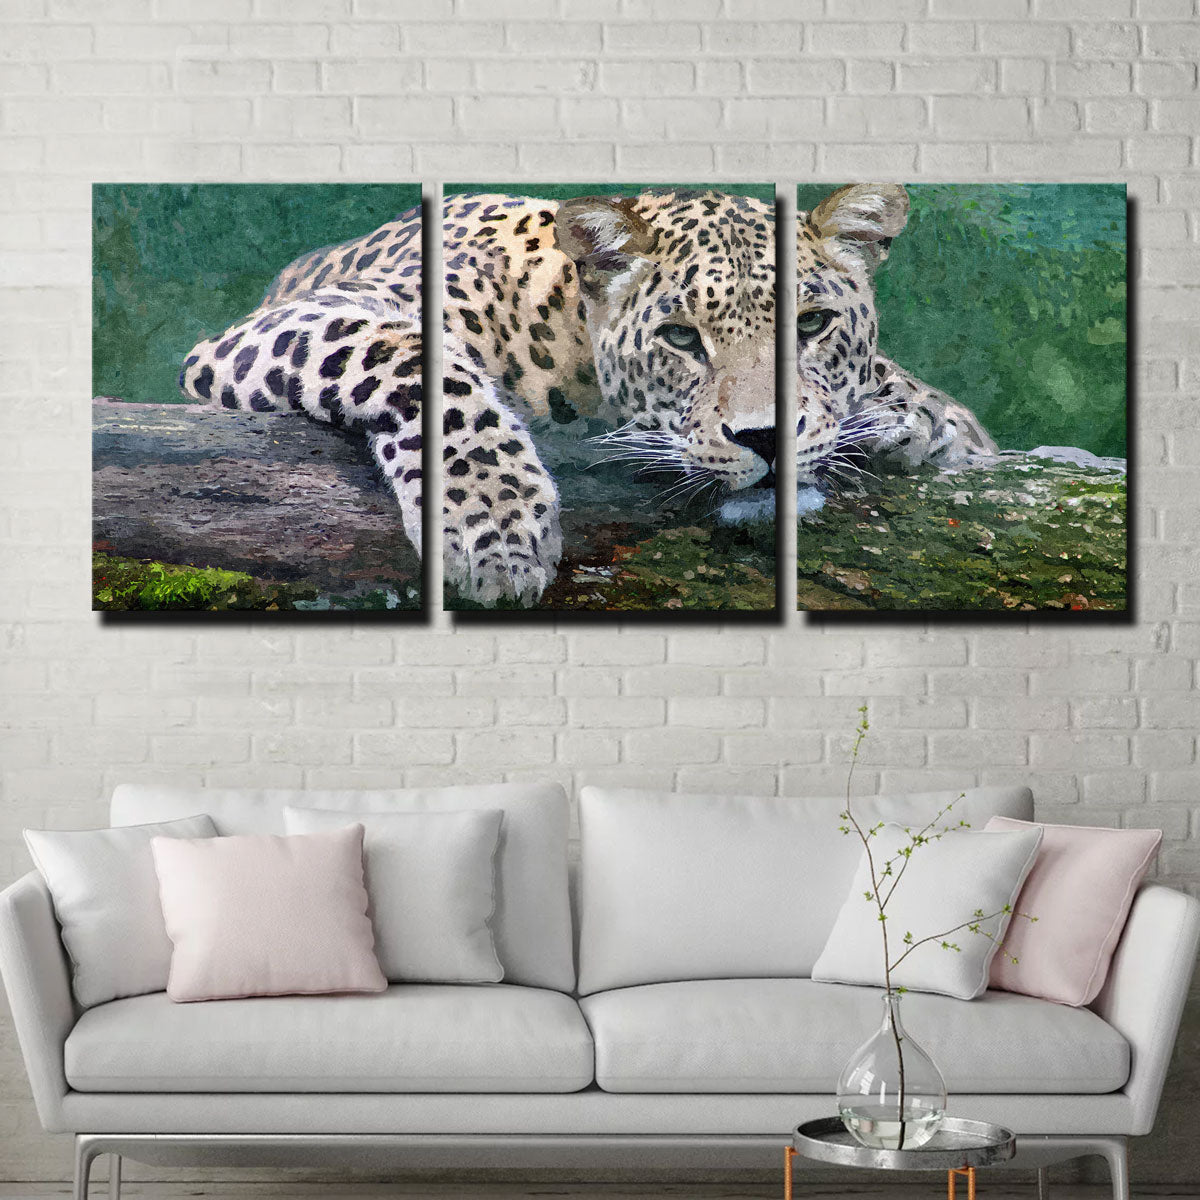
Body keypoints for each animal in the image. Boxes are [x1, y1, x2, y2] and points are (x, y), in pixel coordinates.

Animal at [178, 183, 995, 607]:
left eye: (812, 324)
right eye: (680, 338)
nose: (766, 440)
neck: (565, 332)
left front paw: (915, 418)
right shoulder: (295, 322)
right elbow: (425, 366)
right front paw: (497, 528)